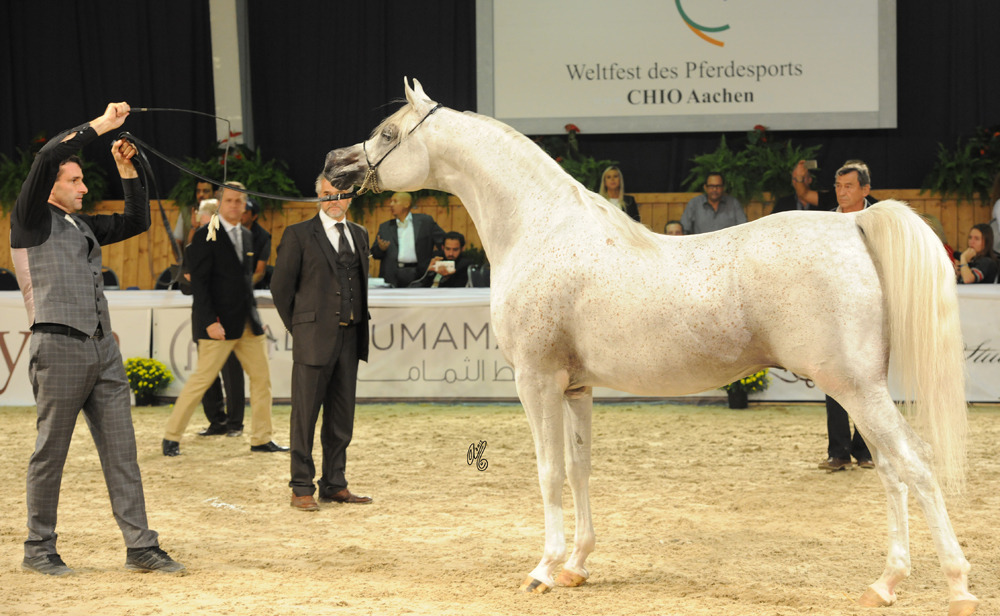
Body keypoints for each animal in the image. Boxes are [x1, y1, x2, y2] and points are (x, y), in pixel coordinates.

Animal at [323, 78, 977, 616]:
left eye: (387, 133)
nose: (334, 165)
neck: (541, 228)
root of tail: (851, 223)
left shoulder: (536, 381)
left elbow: (549, 472)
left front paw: (543, 569)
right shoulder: (576, 387)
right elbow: (580, 469)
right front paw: (576, 567)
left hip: (855, 389)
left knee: (915, 465)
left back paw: (958, 587)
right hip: (859, 389)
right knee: (890, 471)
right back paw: (885, 585)